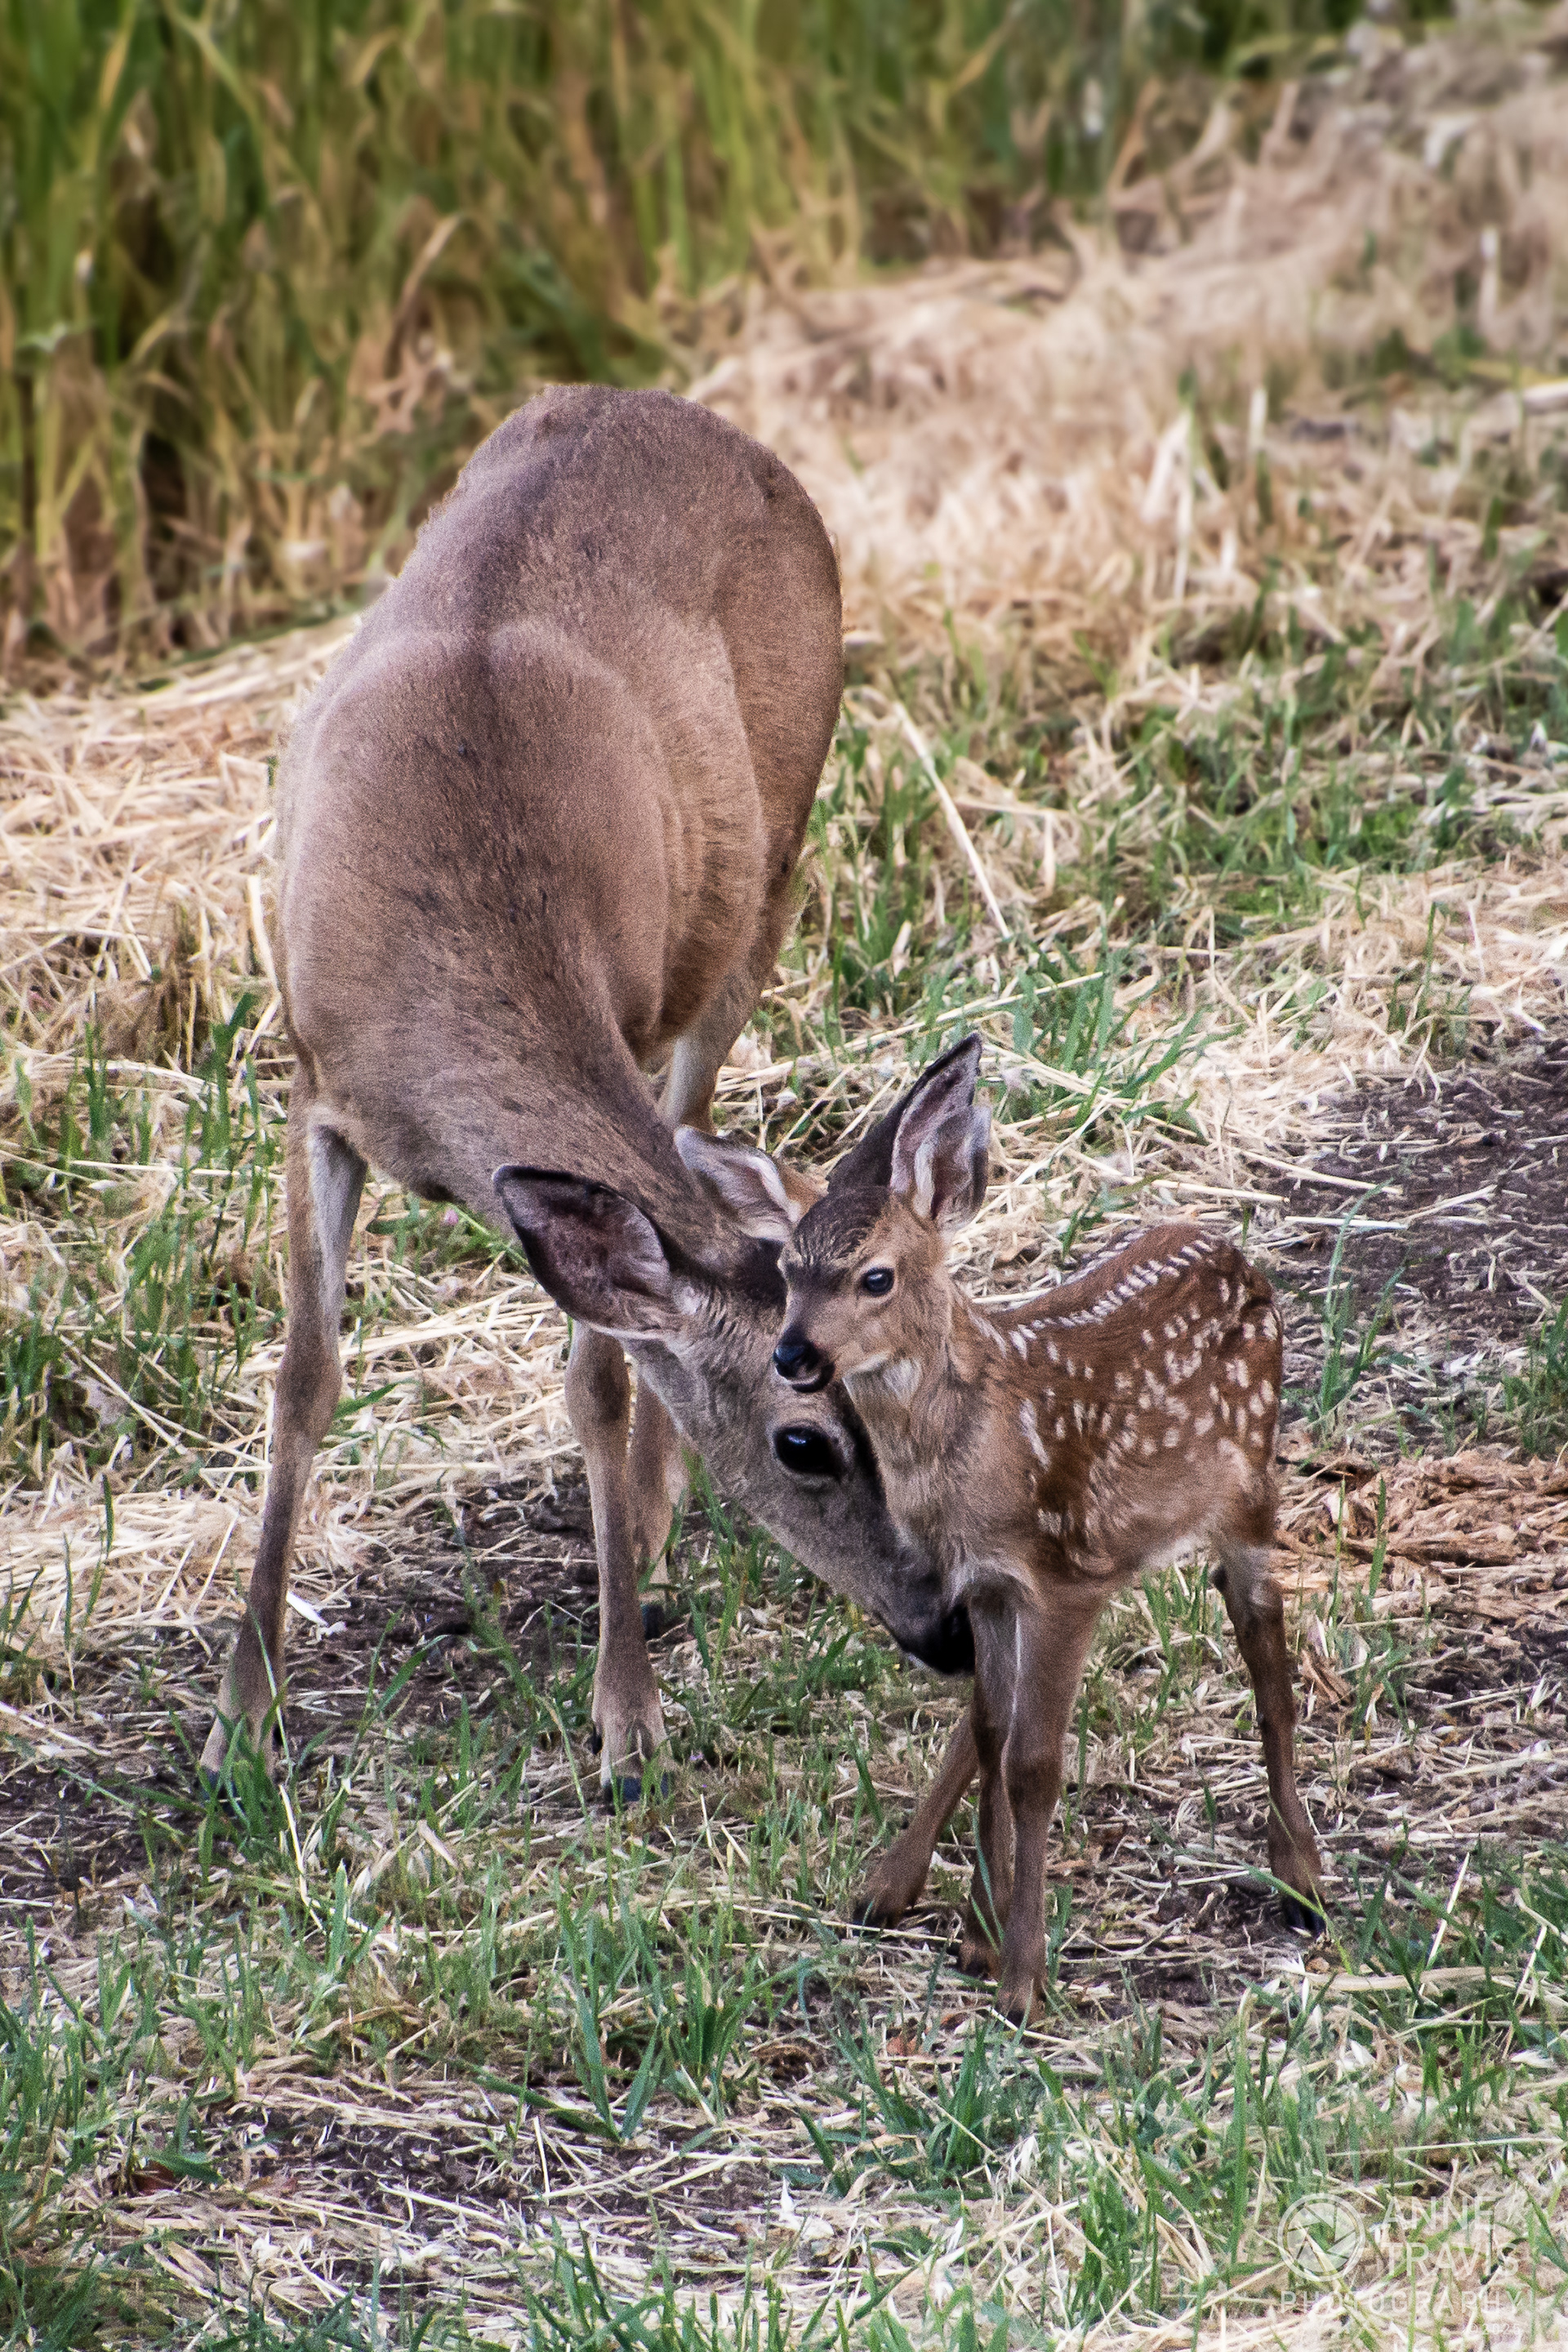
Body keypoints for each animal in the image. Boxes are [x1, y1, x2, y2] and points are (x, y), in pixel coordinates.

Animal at [199, 385, 975, 1795]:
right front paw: (241, 1718)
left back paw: (652, 1527)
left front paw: (626, 1718)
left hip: (762, 889)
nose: (945, 1623)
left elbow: (603, 1378)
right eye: (806, 1439)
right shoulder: (315, 1084)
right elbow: (305, 1375)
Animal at [673, 1036, 1324, 2023]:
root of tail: (1236, 1255)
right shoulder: (982, 1579)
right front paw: (979, 1940)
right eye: (786, 1275)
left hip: (1249, 1489)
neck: (981, 1445)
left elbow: (1033, 1764)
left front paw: (1022, 1978)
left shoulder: (1062, 1579)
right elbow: (988, 1731)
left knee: (1267, 1647)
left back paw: (1303, 1877)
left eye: (876, 1276)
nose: (794, 1355)